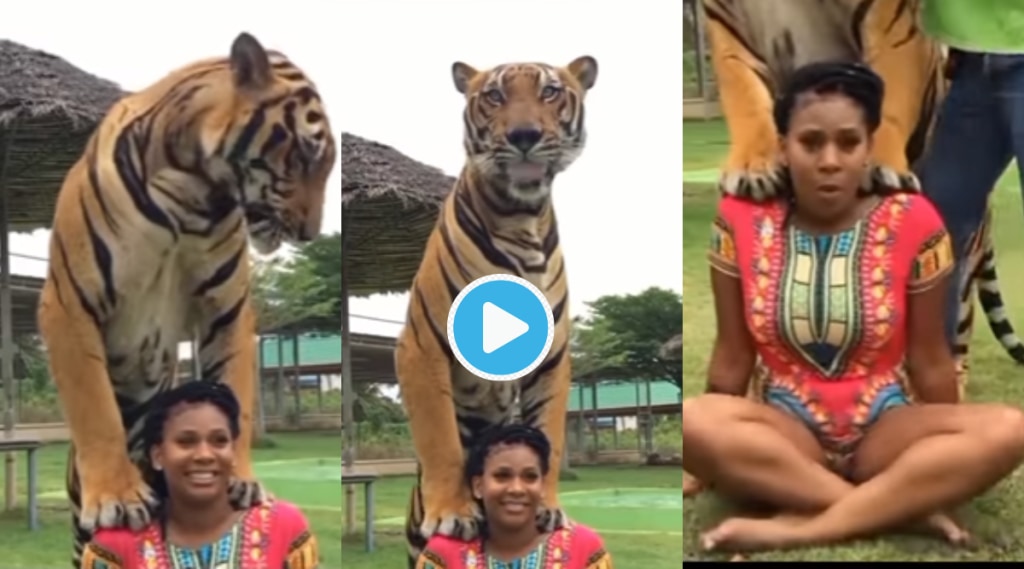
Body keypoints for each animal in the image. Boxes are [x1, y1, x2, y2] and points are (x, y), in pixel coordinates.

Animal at [36, 32, 336, 568]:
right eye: (304, 154)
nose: (308, 234)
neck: (189, 184)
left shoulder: (228, 310)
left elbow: (236, 393)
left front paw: (242, 481)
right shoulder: (71, 301)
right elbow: (94, 407)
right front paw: (117, 497)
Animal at [393, 55, 598, 567]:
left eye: (549, 92)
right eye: (495, 96)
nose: (523, 134)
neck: (520, 215)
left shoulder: (552, 358)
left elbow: (551, 433)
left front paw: (548, 508)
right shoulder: (423, 346)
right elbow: (440, 436)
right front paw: (452, 512)